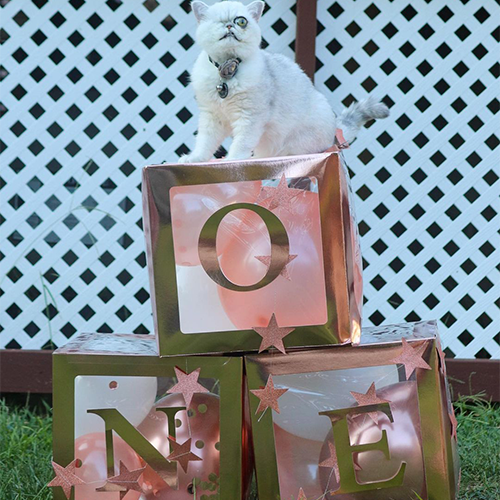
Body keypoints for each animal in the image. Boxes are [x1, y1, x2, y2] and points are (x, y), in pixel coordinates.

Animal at [180, 0, 390, 162]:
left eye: (241, 21)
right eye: (219, 21)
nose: (230, 26)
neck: (226, 71)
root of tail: (334, 132)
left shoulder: (250, 118)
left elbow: (241, 144)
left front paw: (233, 160)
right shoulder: (211, 117)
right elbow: (204, 143)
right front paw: (195, 159)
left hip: (295, 143)